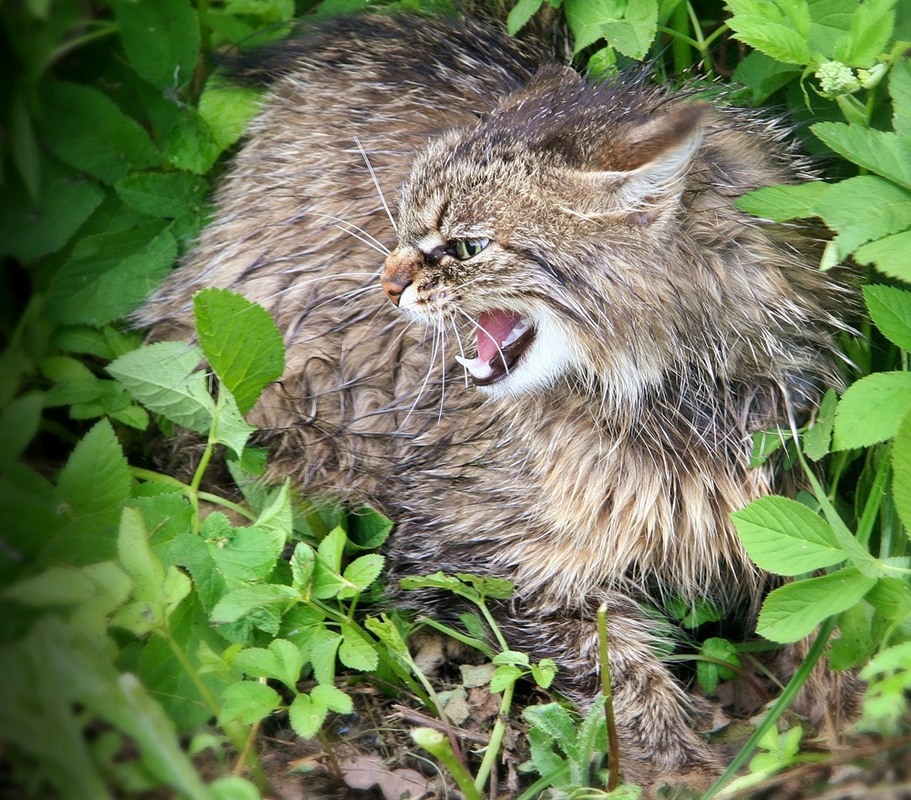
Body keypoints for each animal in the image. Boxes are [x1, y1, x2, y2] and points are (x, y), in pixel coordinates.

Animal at [135, 9, 856, 792]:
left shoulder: (783, 499)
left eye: (467, 247)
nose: (385, 282)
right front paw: (679, 766)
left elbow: (840, 607)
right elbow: (617, 673)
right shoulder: (478, 553)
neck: (672, 398)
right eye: (403, 224)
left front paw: (844, 713)